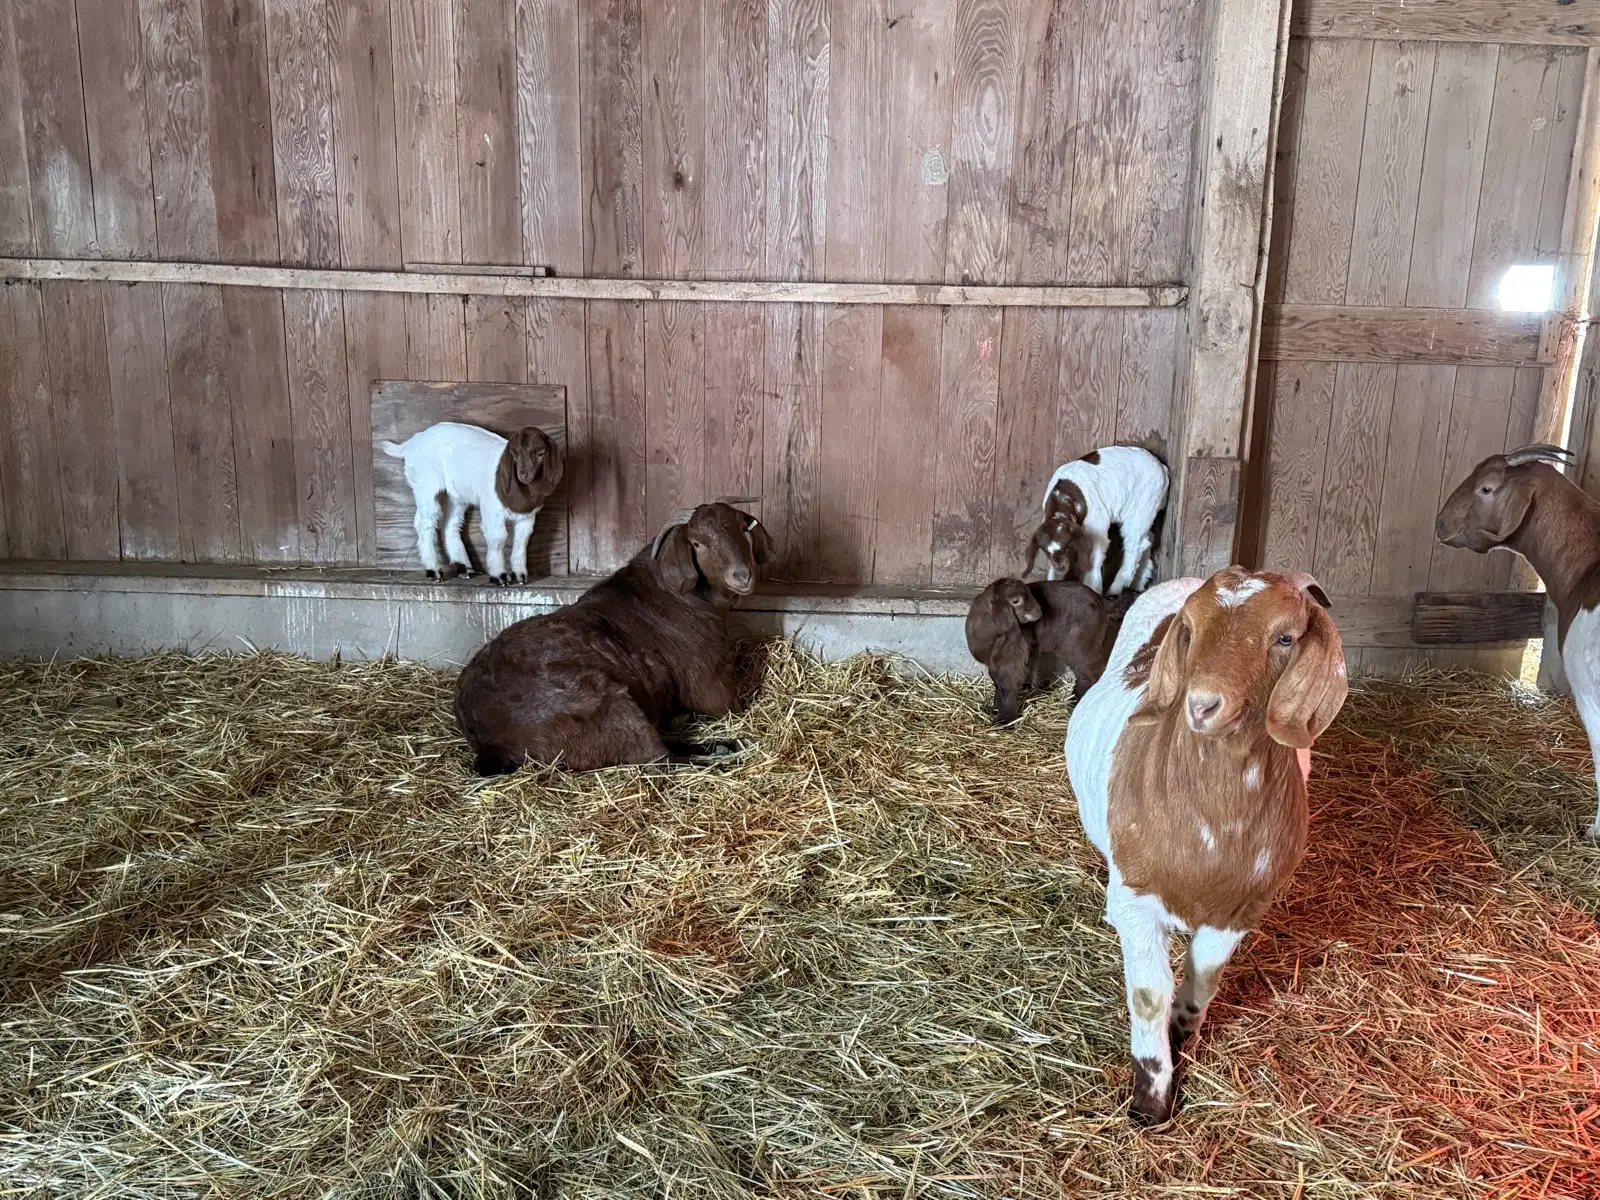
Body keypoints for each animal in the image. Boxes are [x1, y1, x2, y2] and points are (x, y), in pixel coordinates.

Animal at [382, 421, 563, 585]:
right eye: (514, 453)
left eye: (541, 453)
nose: (523, 474)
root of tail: (411, 443)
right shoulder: (491, 507)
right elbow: (498, 537)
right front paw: (499, 576)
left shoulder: (527, 515)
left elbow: (522, 540)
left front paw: (520, 576)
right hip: (425, 485)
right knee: (425, 522)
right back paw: (433, 570)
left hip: (456, 496)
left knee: (451, 524)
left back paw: (464, 566)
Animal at [454, 502, 774, 774]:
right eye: (698, 543)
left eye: (744, 530)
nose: (742, 576)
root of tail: (487, 741)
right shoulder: (709, 683)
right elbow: (729, 706)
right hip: (608, 706)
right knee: (659, 757)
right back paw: (723, 755)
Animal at [965, 578, 1129, 724]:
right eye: (1016, 601)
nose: (1039, 612)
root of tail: (1103, 601)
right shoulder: (995, 659)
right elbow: (997, 681)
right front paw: (995, 708)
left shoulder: (1012, 651)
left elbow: (1008, 681)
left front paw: (1004, 720)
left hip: (1080, 642)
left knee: (1091, 672)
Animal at [1030, 446, 1168, 595]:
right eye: (1046, 551)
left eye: (1067, 547)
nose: (1060, 567)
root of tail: (1162, 467)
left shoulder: (1097, 526)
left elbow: (1095, 557)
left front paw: (1093, 588)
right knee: (1147, 538)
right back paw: (1139, 581)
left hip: (1142, 505)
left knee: (1135, 543)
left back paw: (1115, 589)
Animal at [1065, 568, 1347, 1124]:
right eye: (1190, 631)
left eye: (1285, 637)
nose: (1202, 705)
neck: (1213, 830)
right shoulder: (1136, 899)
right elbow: (1148, 995)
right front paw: (1150, 1102)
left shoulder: (1240, 909)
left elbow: (1205, 981)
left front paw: (1181, 1036)